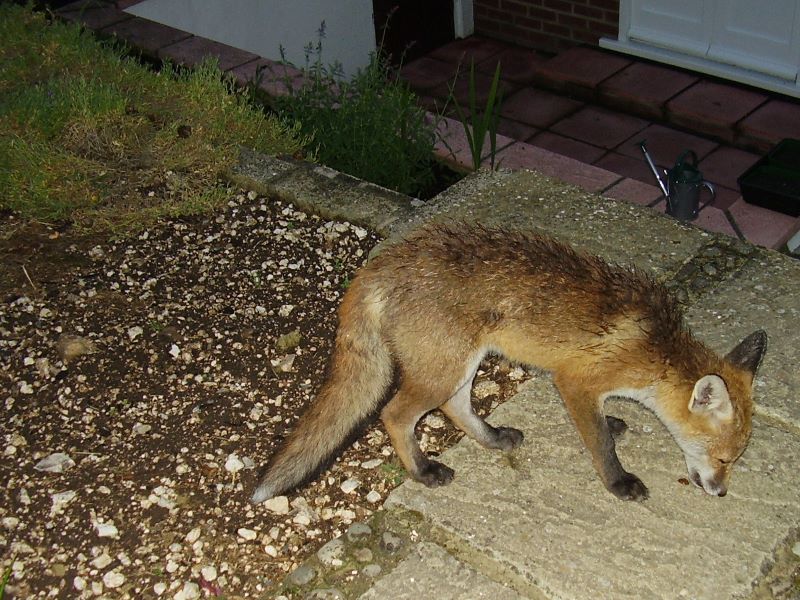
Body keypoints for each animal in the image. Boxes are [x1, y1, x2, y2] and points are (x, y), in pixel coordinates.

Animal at [252, 223, 768, 504]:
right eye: (724, 459)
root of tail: (384, 261)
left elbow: (604, 424)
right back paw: (422, 471)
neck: (655, 352)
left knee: (456, 407)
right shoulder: (575, 381)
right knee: (394, 414)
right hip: (442, 369)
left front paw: (615, 424)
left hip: (462, 363)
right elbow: (600, 444)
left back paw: (494, 438)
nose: (721, 492)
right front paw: (618, 482)